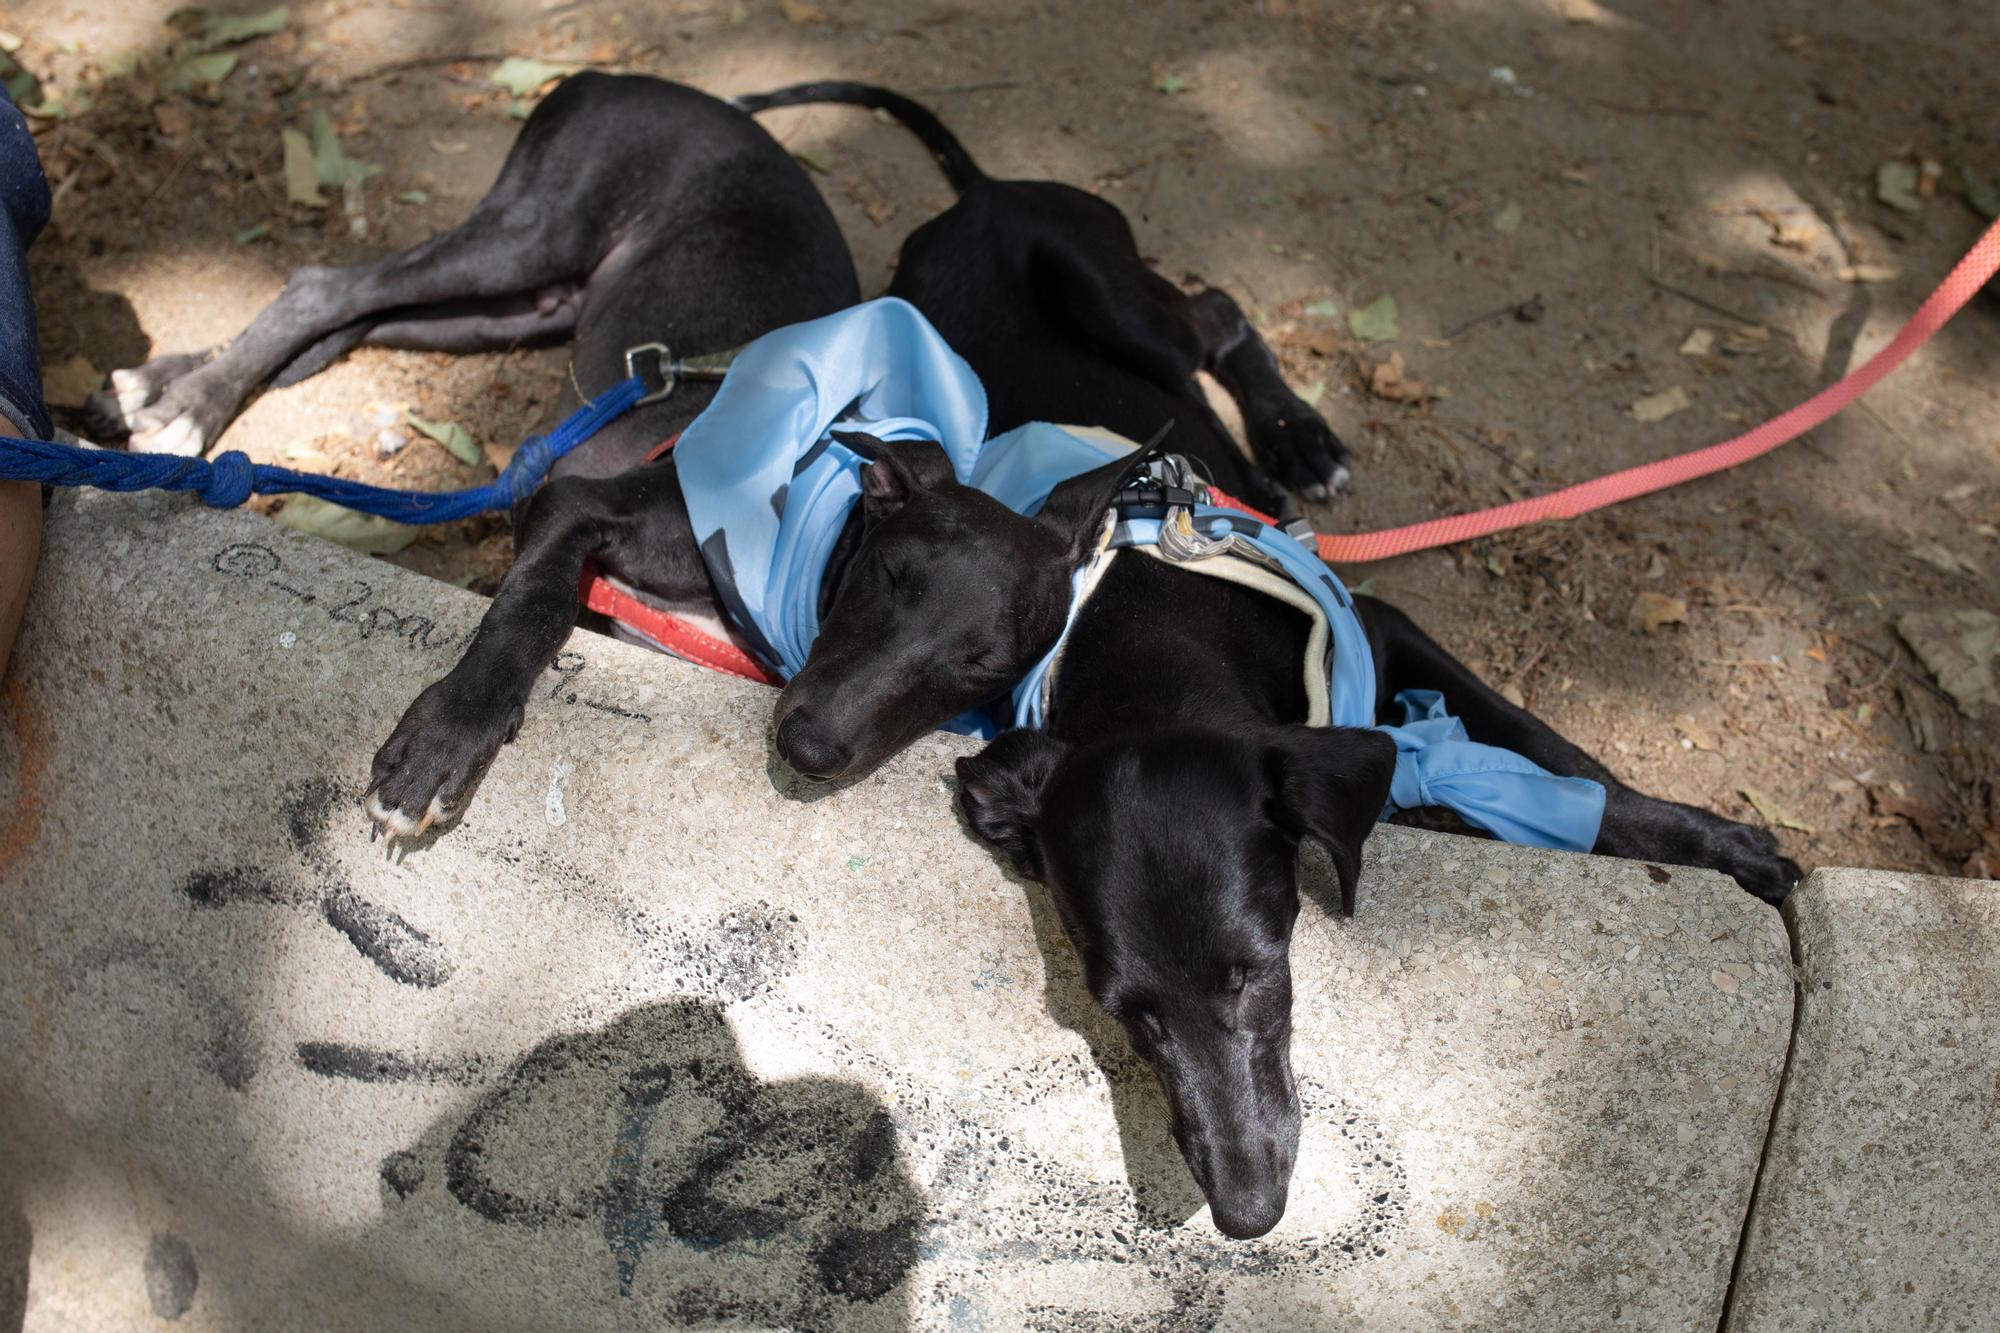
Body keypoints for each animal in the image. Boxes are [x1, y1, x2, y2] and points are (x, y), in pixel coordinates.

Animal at [744, 80, 1808, 1232]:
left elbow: (1562, 760)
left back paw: (1303, 440)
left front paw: (1727, 850)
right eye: (1124, 1010)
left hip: (1113, 293)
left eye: (1257, 971)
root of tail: (985, 190)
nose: (1246, 1209)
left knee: (1213, 308)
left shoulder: (1388, 626)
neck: (1150, 638)